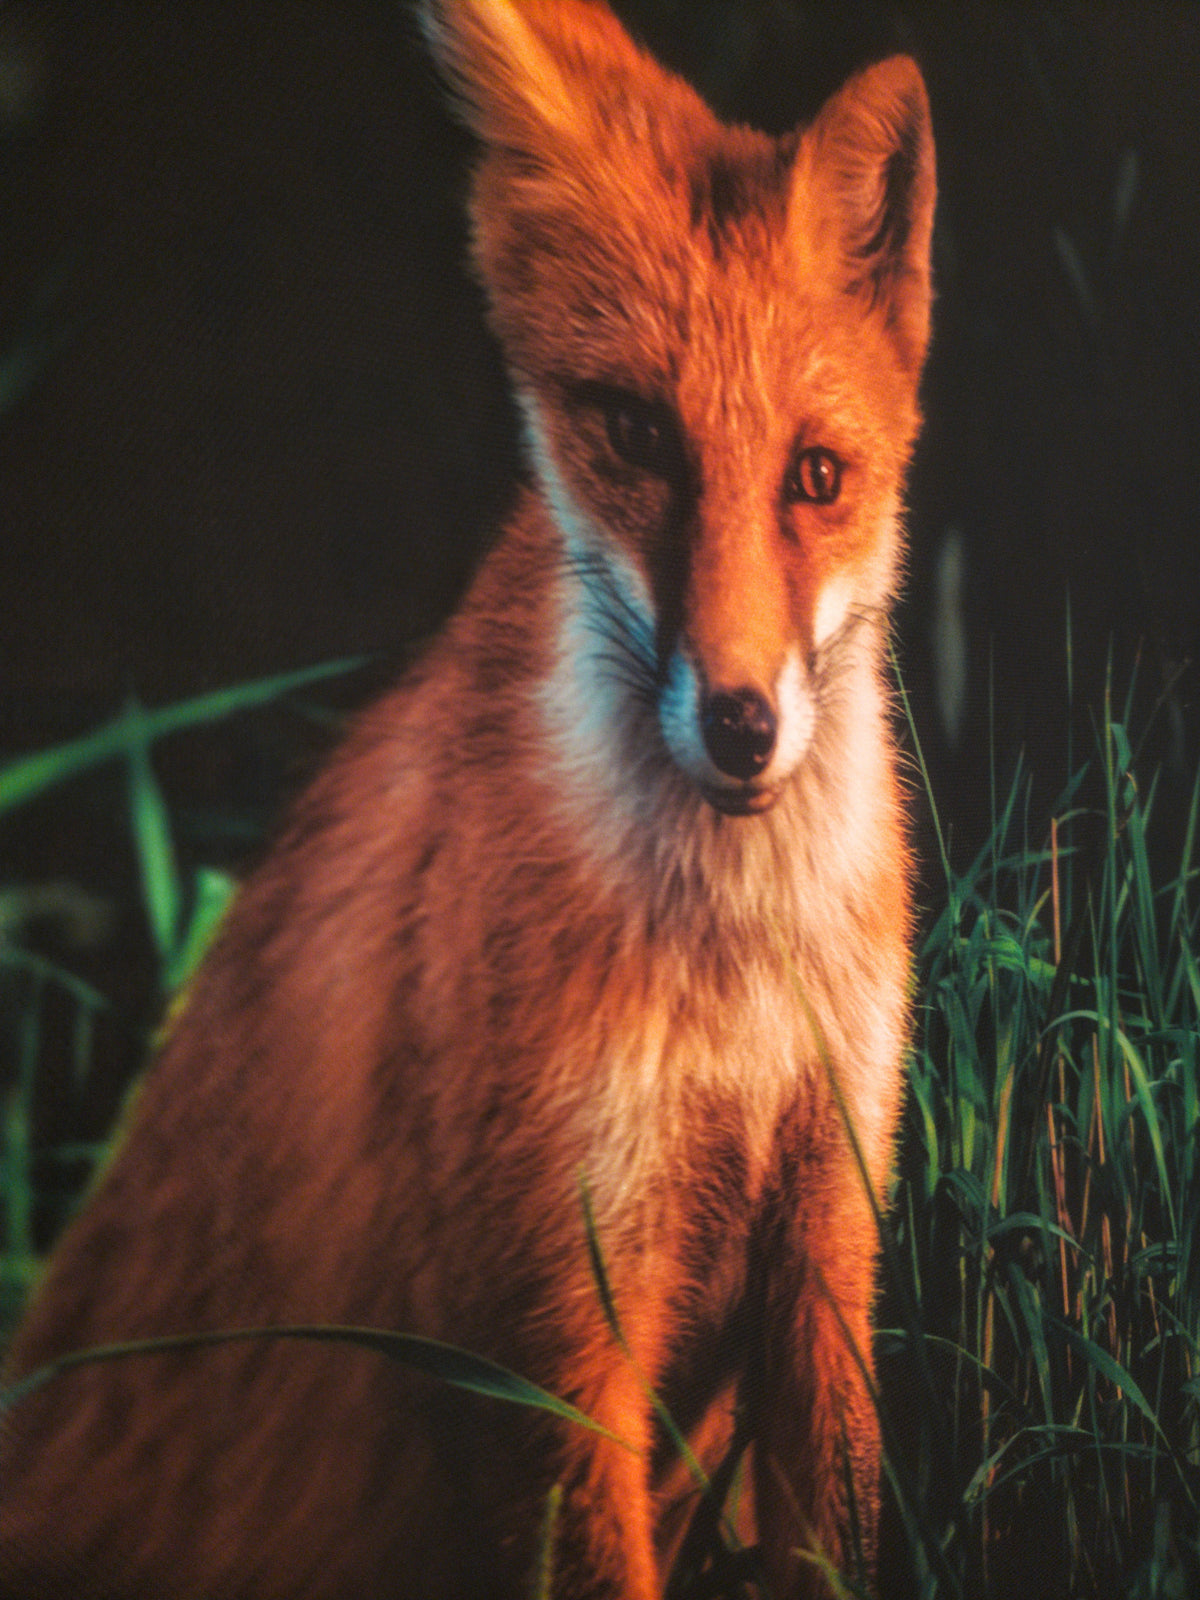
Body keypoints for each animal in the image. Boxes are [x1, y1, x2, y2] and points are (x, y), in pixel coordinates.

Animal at [0, 2, 935, 1597]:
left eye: (817, 476)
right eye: (637, 435)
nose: (742, 727)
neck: (735, 982)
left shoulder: (827, 1250)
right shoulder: (553, 1327)